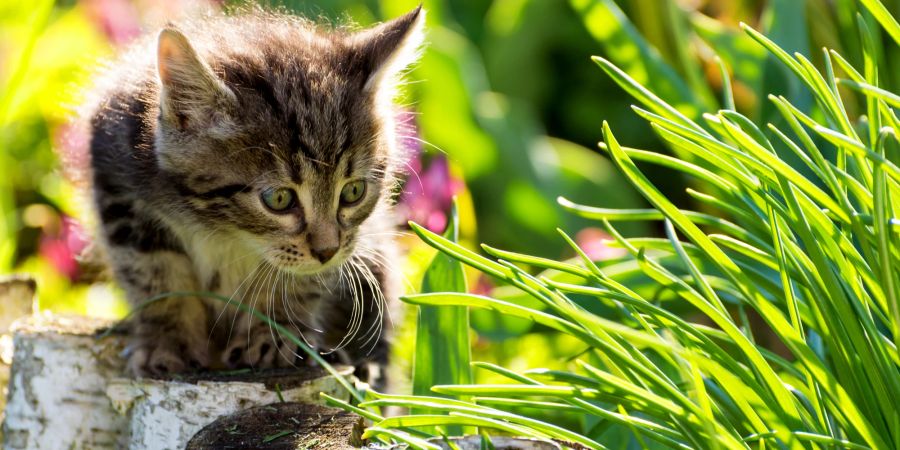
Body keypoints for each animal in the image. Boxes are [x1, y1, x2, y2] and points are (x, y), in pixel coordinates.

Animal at [82, 5, 424, 384]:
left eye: (353, 191)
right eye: (279, 199)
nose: (327, 251)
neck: (221, 228)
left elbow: (295, 279)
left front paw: (271, 336)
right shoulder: (120, 186)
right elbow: (156, 276)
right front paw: (168, 342)